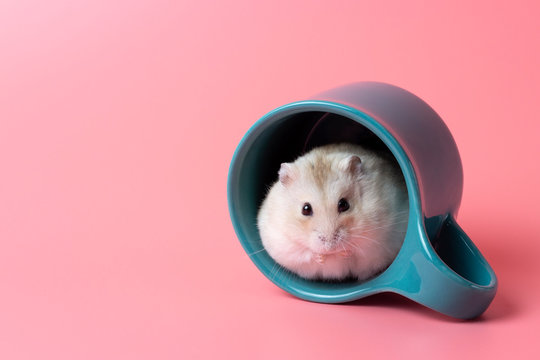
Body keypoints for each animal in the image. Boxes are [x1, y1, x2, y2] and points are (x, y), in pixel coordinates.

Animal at [255, 143, 408, 282]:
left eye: (344, 204)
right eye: (305, 209)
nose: (330, 246)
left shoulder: (378, 236)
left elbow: (360, 247)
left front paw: (343, 253)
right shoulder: (283, 243)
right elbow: (305, 253)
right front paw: (322, 257)